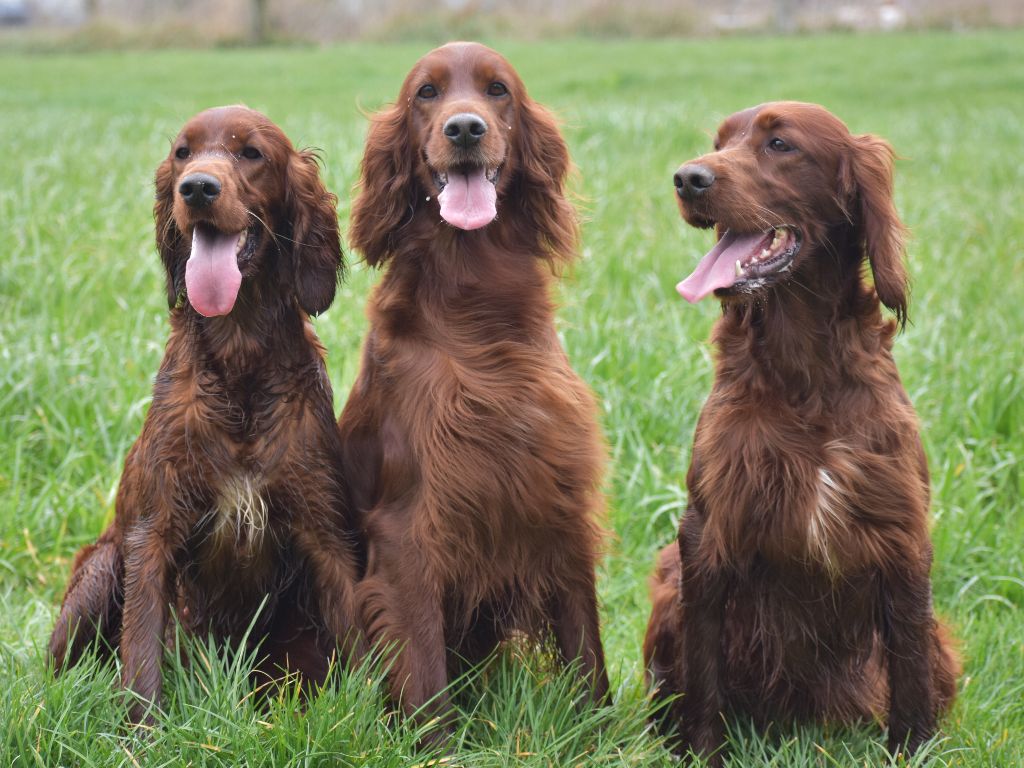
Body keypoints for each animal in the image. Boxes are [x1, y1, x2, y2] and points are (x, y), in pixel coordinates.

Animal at [51, 105, 366, 724]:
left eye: (252, 153)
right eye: (182, 153)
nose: (196, 188)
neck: (239, 358)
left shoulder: (324, 529)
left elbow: (366, 637)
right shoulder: (152, 532)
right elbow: (141, 652)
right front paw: (141, 734)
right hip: (102, 566)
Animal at [339, 43, 606, 733]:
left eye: (498, 89)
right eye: (426, 93)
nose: (464, 129)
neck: (473, 304)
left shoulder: (557, 499)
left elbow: (587, 649)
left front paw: (603, 736)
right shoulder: (409, 529)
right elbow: (425, 670)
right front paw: (437, 745)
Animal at [647, 102, 958, 765]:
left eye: (780, 144)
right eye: (719, 143)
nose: (688, 179)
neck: (804, 375)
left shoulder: (901, 534)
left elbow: (910, 672)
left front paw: (912, 748)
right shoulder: (707, 531)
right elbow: (703, 675)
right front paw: (702, 752)